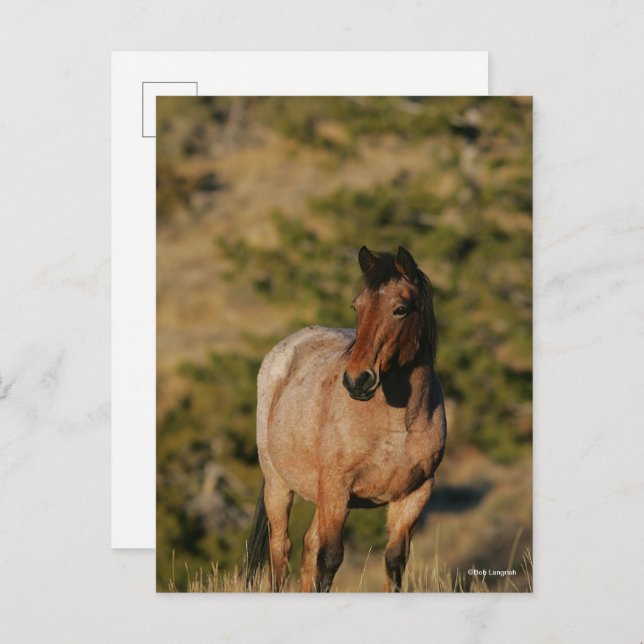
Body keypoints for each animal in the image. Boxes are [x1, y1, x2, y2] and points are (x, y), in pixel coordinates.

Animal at [245, 246, 446, 592]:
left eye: (401, 309)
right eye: (357, 305)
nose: (357, 380)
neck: (397, 426)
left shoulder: (415, 494)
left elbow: (394, 562)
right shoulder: (337, 487)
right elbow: (329, 559)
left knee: (307, 545)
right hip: (279, 484)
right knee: (281, 549)